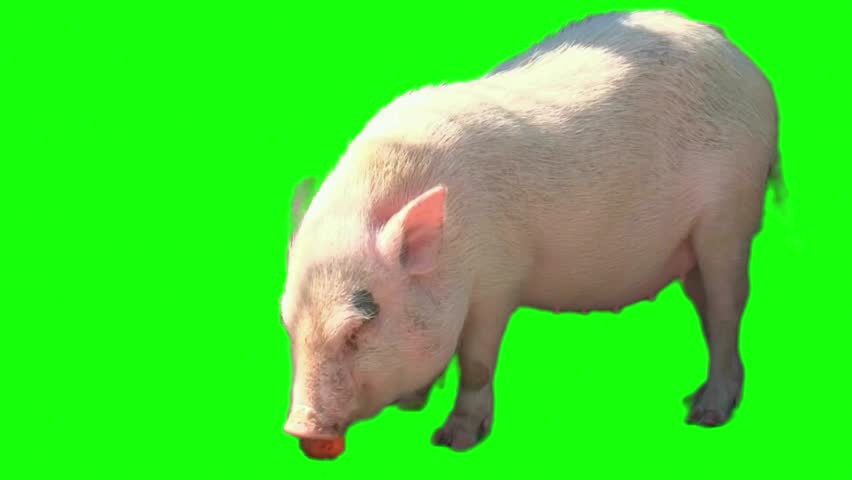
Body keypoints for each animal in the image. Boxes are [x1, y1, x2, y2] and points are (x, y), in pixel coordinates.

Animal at [281, 10, 783, 452]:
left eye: (360, 327)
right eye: (288, 323)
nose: (300, 427)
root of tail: (745, 62)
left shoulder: (499, 281)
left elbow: (477, 361)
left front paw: (452, 441)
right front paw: (412, 404)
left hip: (729, 217)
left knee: (727, 309)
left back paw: (705, 415)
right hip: (692, 245)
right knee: (706, 308)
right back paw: (695, 400)